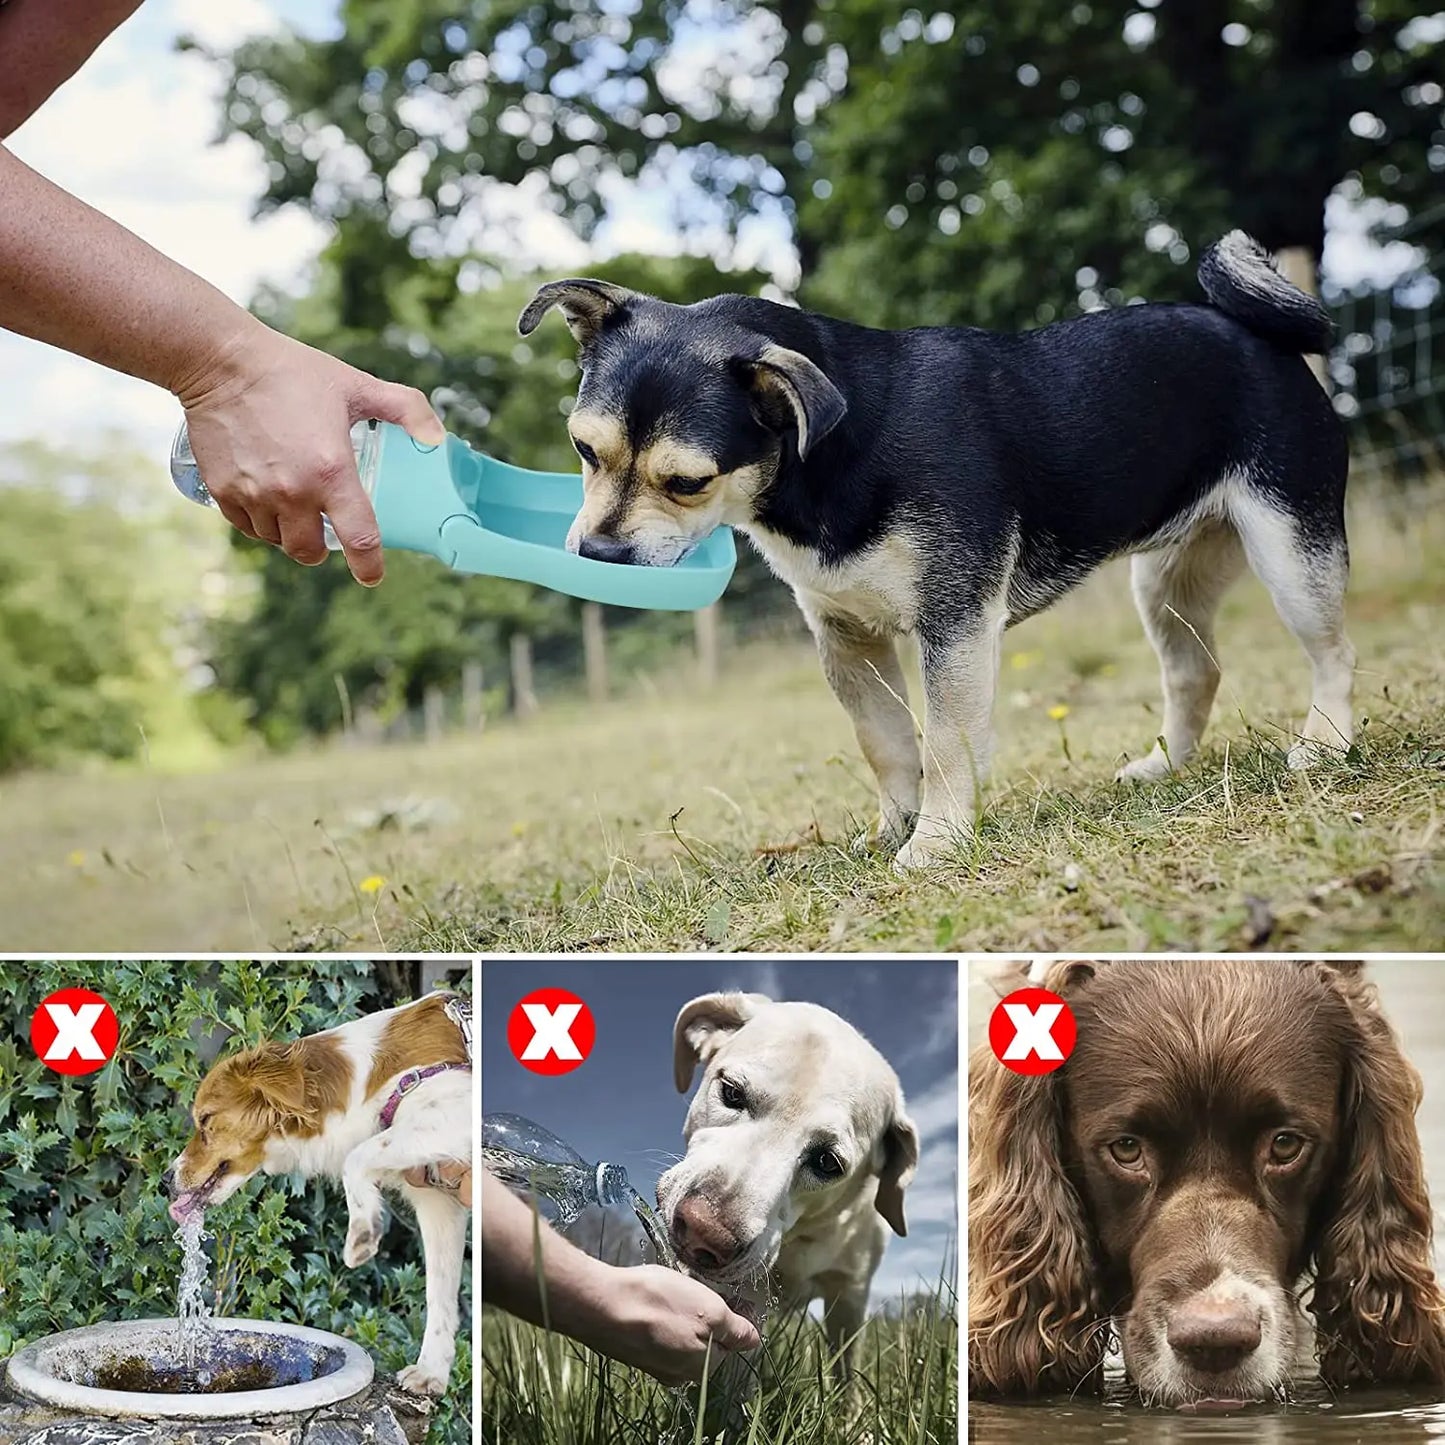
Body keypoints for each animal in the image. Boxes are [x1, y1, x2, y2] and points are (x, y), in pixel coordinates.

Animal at [164, 994, 471, 1387]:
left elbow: (357, 1156)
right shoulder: (438, 1202)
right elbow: (440, 1293)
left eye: (205, 1120)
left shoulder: (454, 1115)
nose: (165, 1180)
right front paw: (432, 1371)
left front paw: (362, 1233)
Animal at [520, 234, 1352, 867]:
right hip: (1167, 582)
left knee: (1330, 654)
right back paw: (1165, 765)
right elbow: (887, 743)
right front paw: (893, 826)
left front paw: (936, 840)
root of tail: (1256, 333)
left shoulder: (952, 625)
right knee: (1193, 671)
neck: (827, 454)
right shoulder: (846, 638)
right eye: (583, 449)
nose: (597, 551)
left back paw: (1326, 745)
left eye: (687, 482)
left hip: (1289, 549)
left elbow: (947, 739)